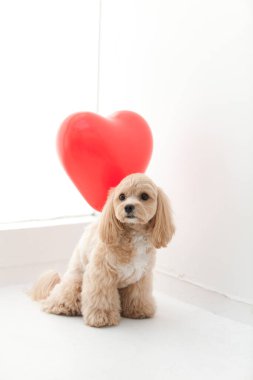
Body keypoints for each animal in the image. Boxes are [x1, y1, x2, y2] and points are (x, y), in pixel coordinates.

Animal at [30, 174, 175, 328]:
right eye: (122, 197)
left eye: (144, 196)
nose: (128, 207)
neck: (134, 234)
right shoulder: (101, 274)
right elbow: (101, 298)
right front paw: (101, 317)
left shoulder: (141, 277)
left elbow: (138, 295)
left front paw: (139, 310)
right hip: (75, 283)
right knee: (62, 297)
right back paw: (61, 306)